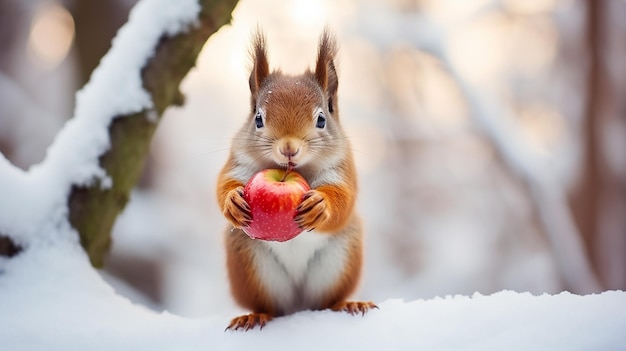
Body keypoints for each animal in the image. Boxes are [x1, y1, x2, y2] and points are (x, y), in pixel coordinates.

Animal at [216, 28, 376, 332]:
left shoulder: (342, 167)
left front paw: (320, 206)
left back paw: (347, 304)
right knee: (268, 306)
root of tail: (297, 307)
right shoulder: (238, 161)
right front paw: (232, 202)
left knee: (328, 300)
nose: (289, 148)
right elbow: (223, 185)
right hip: (251, 264)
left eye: (322, 119)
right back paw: (254, 316)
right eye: (258, 119)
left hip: (340, 260)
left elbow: (344, 199)